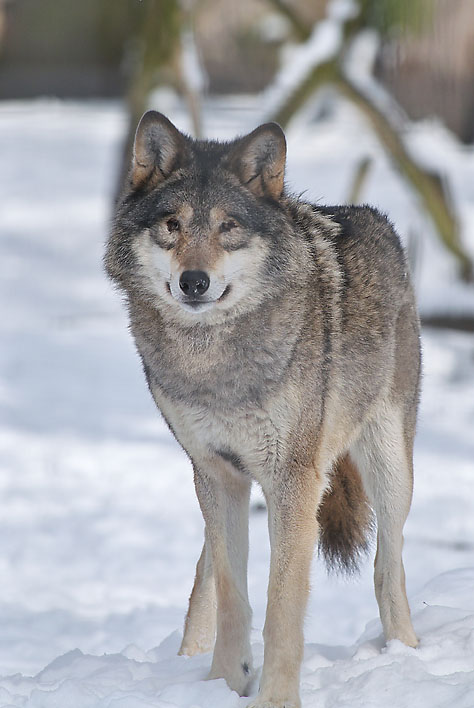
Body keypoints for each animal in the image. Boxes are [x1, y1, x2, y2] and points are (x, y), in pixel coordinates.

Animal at [105, 110, 420, 708]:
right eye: (172, 226)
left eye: (228, 227)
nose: (194, 282)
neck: (215, 365)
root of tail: (369, 216)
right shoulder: (216, 473)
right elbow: (234, 597)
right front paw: (226, 684)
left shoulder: (293, 481)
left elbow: (281, 606)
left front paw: (274, 698)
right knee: (205, 571)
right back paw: (190, 661)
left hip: (389, 470)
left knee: (387, 568)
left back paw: (407, 655)